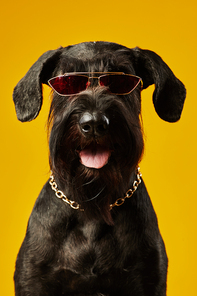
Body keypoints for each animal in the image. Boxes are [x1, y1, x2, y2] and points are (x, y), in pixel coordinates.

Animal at [12, 40, 186, 294]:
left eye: (121, 81)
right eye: (67, 81)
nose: (94, 123)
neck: (93, 205)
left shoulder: (148, 279)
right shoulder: (33, 281)